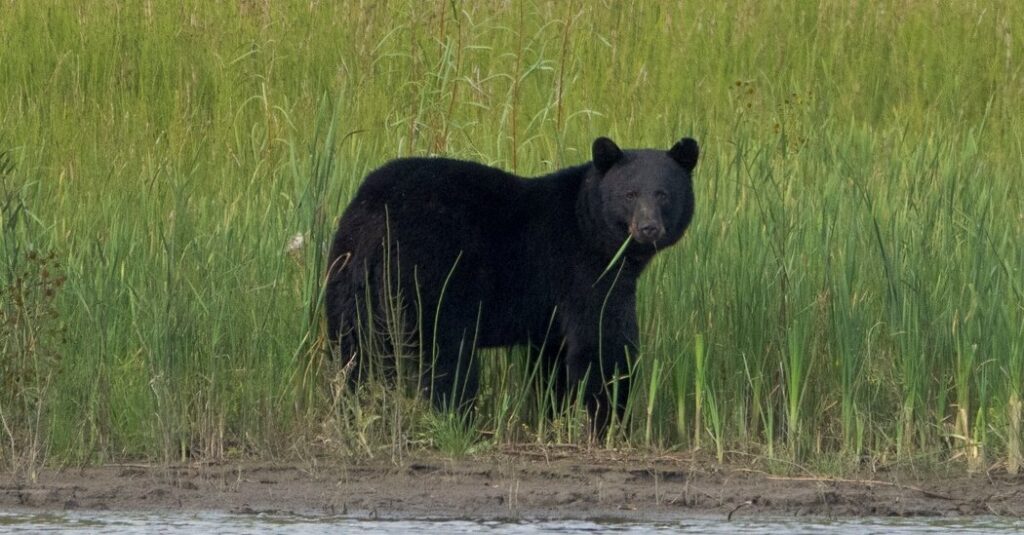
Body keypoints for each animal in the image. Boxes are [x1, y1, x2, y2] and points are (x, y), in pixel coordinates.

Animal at [325, 136, 698, 434]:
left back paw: (350, 413)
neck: (588, 223)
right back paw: (459, 423)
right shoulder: (584, 270)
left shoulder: (551, 313)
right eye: (630, 194)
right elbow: (603, 344)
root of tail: (377, 214)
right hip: (428, 279)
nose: (648, 228)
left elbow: (552, 361)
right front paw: (610, 424)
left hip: (347, 275)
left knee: (352, 351)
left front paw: (554, 418)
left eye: (663, 194)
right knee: (447, 359)